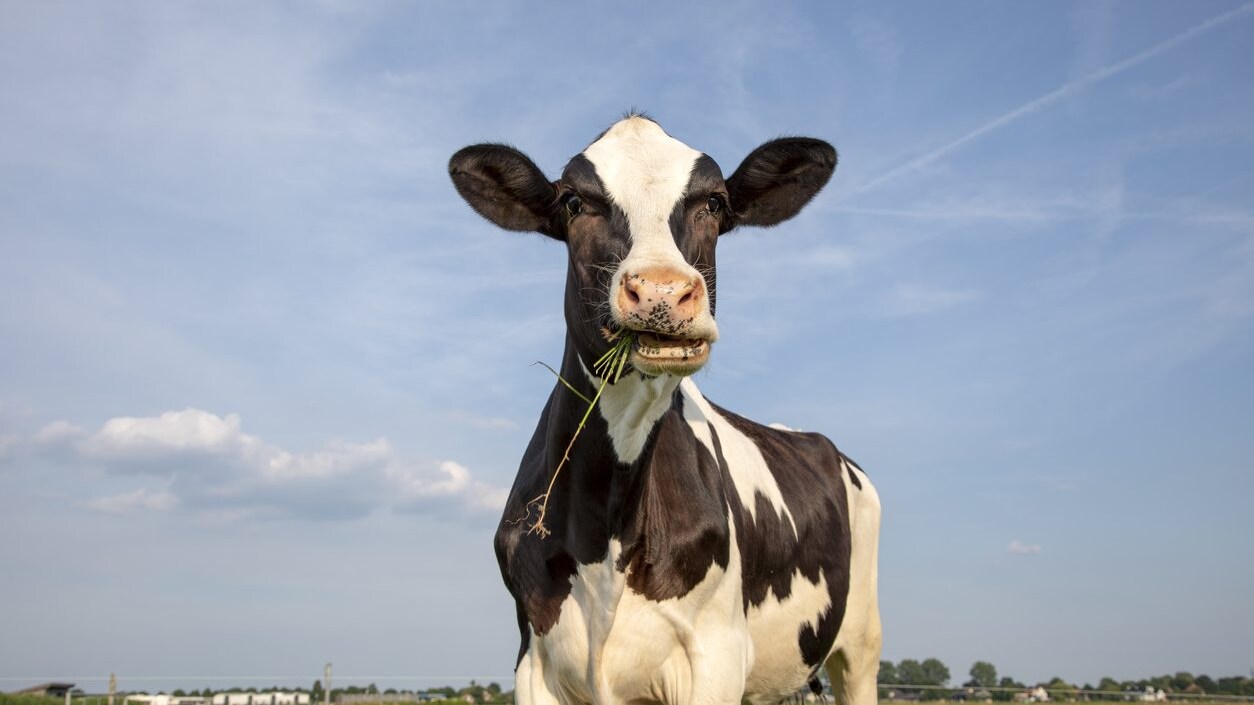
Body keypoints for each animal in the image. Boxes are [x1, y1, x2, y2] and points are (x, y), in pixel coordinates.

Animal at [448, 114, 881, 705]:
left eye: (715, 203)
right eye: (574, 202)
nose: (661, 291)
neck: (605, 522)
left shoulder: (716, 655)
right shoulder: (533, 659)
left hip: (860, 644)